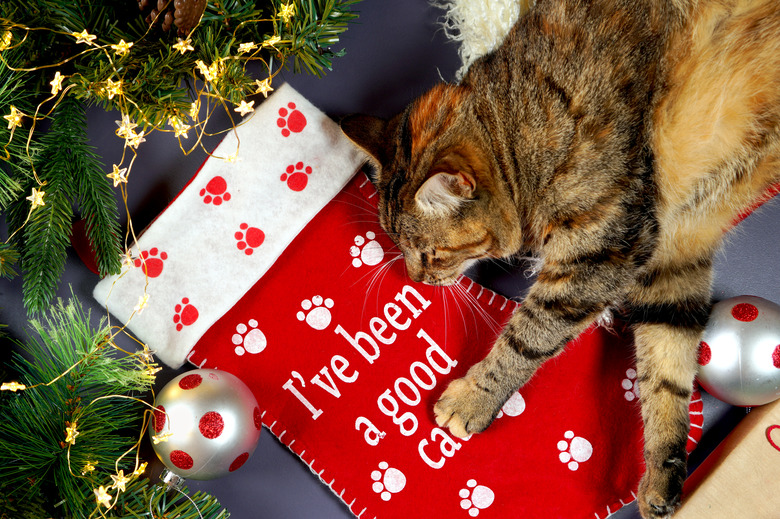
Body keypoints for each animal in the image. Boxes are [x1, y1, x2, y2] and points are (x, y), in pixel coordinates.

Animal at [342, 2, 780, 516]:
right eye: (398, 247)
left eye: (431, 255)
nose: (414, 279)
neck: (520, 132)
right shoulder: (673, 252)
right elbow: (667, 368)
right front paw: (664, 473)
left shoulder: (605, 250)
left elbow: (528, 335)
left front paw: (474, 399)